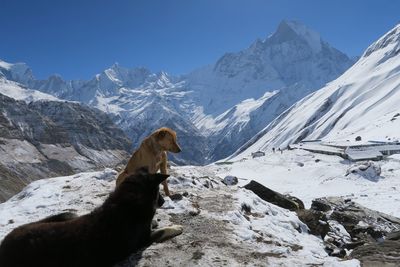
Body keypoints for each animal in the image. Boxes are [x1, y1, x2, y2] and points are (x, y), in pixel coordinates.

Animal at [0, 172, 184, 267]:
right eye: (158, 191)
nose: (163, 201)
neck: (128, 203)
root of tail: (4, 245)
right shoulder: (141, 241)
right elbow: (161, 231)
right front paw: (175, 227)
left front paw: (154, 221)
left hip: (66, 214)